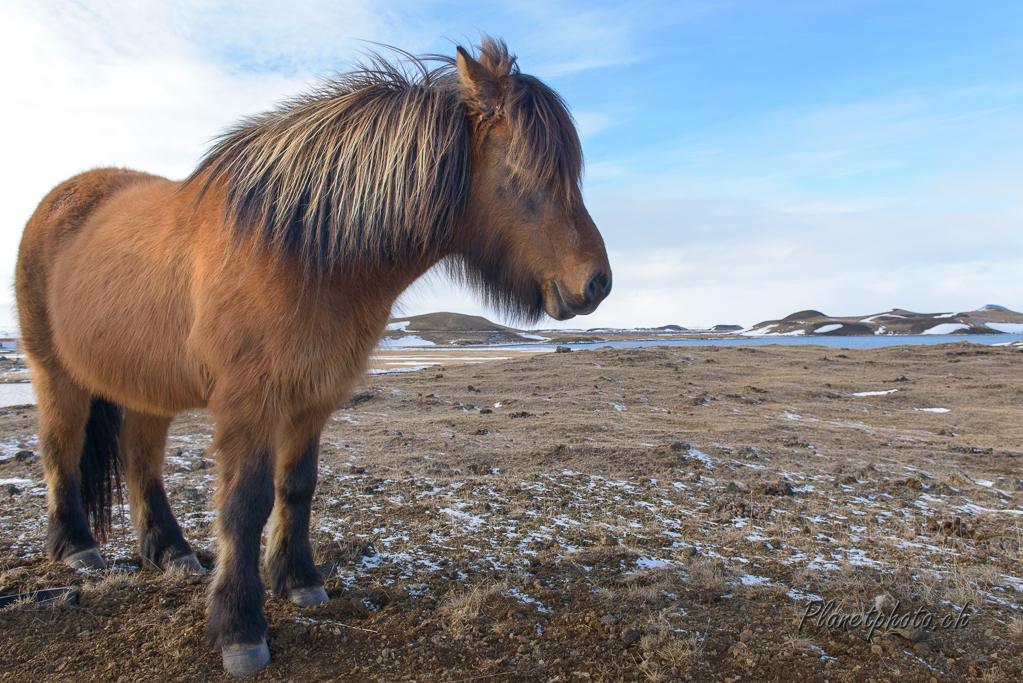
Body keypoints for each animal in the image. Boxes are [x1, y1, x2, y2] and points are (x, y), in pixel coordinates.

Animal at [14, 38, 605, 678]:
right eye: (522, 171)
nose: (597, 283)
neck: (301, 252)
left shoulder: (315, 397)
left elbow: (297, 488)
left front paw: (299, 581)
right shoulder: (248, 401)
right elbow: (244, 506)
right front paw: (240, 629)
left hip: (150, 386)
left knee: (139, 458)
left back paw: (170, 552)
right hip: (56, 375)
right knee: (60, 449)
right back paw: (77, 549)